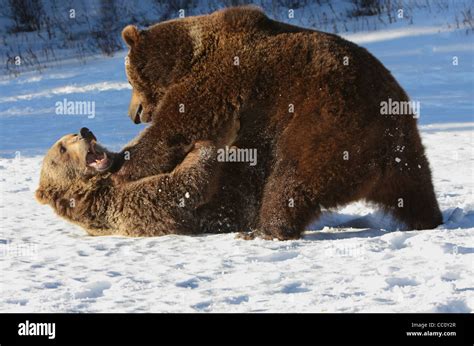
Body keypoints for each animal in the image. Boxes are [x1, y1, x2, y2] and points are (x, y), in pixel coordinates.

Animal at [35, 128, 224, 237]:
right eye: (62, 148)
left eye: (73, 133)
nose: (84, 132)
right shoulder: (115, 204)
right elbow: (175, 189)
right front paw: (203, 146)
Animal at [110, 5, 440, 239]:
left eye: (129, 78)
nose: (134, 114)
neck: (187, 57)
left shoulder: (222, 79)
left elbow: (178, 127)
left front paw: (120, 164)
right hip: (405, 146)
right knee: (416, 187)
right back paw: (429, 218)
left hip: (329, 122)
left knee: (292, 176)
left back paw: (267, 229)